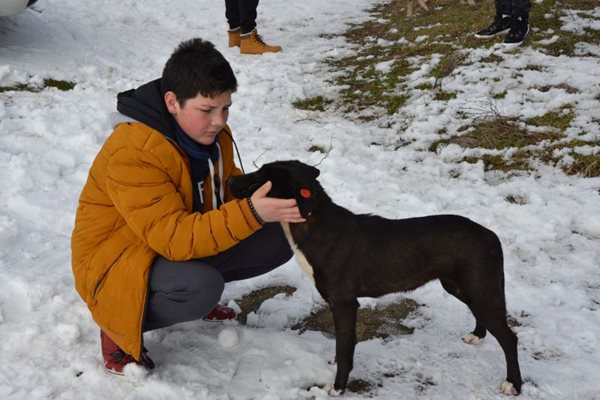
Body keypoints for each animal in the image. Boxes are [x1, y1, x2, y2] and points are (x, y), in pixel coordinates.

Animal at [229, 160, 520, 396]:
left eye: (260, 177)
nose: (230, 181)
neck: (312, 221)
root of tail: (491, 235)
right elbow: (343, 346)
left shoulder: (344, 304)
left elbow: (345, 349)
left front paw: (338, 387)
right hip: (462, 286)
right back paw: (477, 336)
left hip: (479, 288)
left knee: (510, 338)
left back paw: (513, 384)